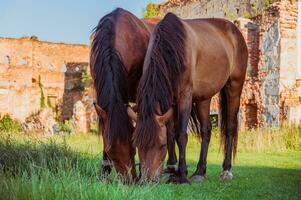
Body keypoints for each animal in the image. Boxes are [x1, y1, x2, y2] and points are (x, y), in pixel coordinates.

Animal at [126, 12, 246, 184]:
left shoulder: (185, 97)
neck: (172, 49)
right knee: (206, 130)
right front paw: (173, 171)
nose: (148, 180)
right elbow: (171, 133)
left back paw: (226, 170)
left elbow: (180, 134)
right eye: (137, 144)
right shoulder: (169, 102)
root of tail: (234, 30)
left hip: (234, 87)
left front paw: (181, 175)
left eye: (161, 146)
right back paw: (199, 171)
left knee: (229, 127)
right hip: (203, 98)